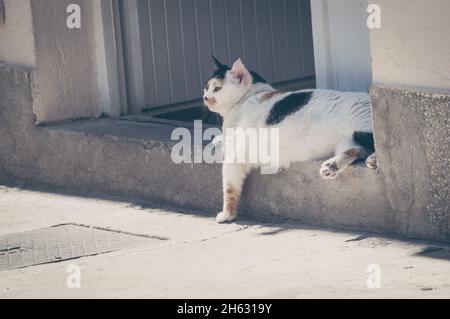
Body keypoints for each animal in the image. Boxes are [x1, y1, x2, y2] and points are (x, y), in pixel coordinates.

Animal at [203, 57, 376, 222]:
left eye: (217, 88)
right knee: (356, 150)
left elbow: (229, 188)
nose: (204, 97)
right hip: (346, 142)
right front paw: (218, 138)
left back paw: (372, 160)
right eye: (207, 87)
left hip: (361, 127)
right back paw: (331, 167)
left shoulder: (237, 154)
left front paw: (227, 215)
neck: (248, 98)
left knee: (373, 146)